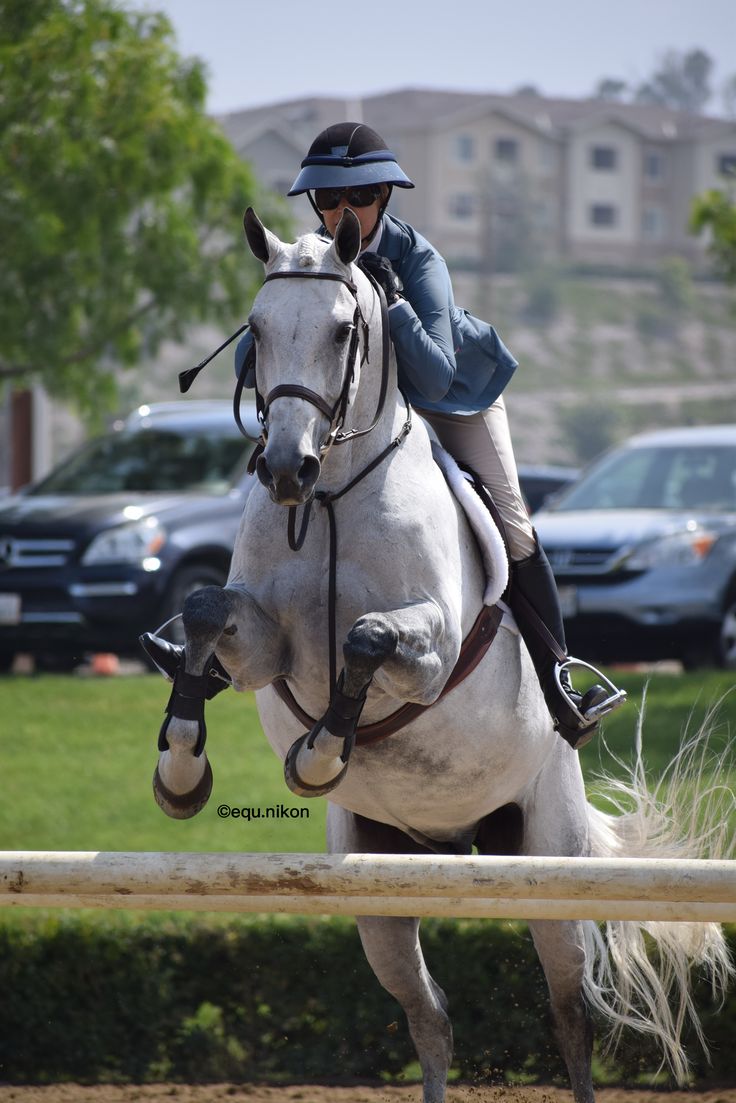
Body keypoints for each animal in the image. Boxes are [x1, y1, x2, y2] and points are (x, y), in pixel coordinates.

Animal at [150, 207, 732, 1103]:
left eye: (345, 329)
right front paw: (181, 770)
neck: (333, 493)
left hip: (549, 862)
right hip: (379, 879)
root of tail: (453, 841)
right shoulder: (266, 647)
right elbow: (209, 612)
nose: (284, 469)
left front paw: (320, 755)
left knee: (570, 1009)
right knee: (430, 1014)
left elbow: (367, 637)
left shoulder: (429, 654)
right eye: (255, 328)